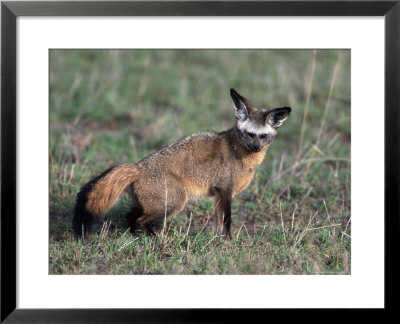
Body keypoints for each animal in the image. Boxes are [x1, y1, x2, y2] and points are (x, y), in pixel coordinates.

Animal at [72, 88, 290, 238]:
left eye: (263, 136)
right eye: (250, 134)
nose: (256, 147)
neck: (241, 154)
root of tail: (137, 167)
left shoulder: (219, 195)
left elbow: (220, 221)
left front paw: (220, 240)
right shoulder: (225, 191)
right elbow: (227, 220)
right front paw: (229, 242)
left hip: (149, 205)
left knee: (130, 217)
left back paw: (137, 236)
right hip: (173, 203)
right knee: (141, 220)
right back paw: (153, 237)